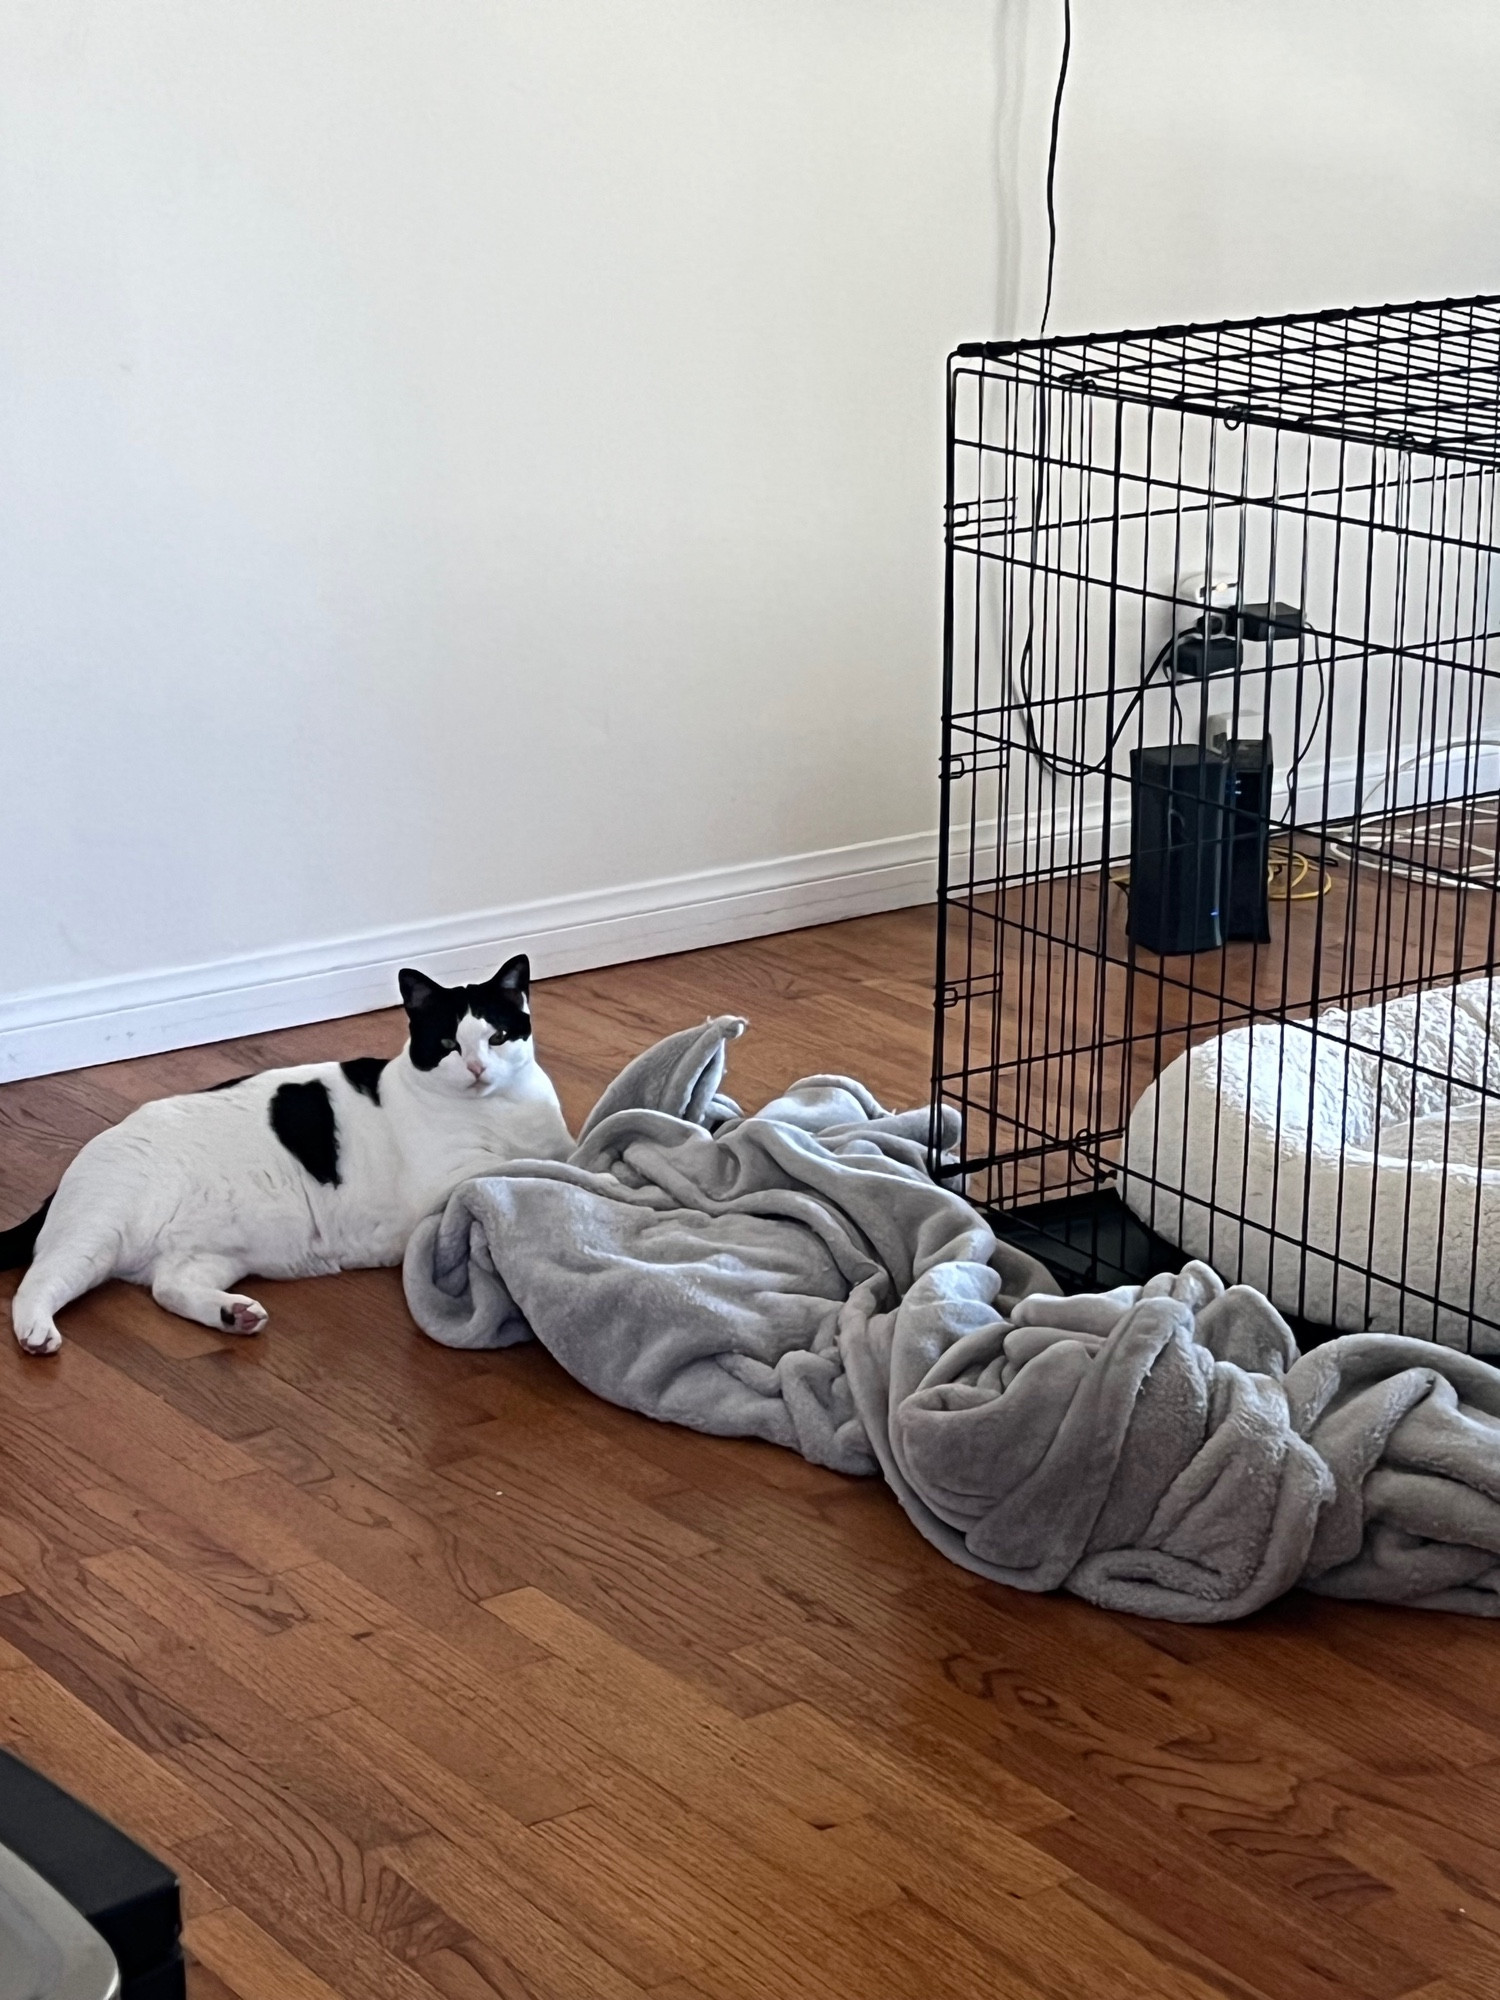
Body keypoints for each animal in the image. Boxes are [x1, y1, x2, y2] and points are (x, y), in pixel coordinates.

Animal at [0, 956, 576, 1360]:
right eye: (447, 1044)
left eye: (497, 1037)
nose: (478, 1068)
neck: (500, 1111)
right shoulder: (442, 1182)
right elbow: (513, 1168)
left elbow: (561, 1152)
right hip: (97, 1234)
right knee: (38, 1279)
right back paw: (36, 1332)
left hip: (212, 1256)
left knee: (168, 1288)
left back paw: (233, 1314)